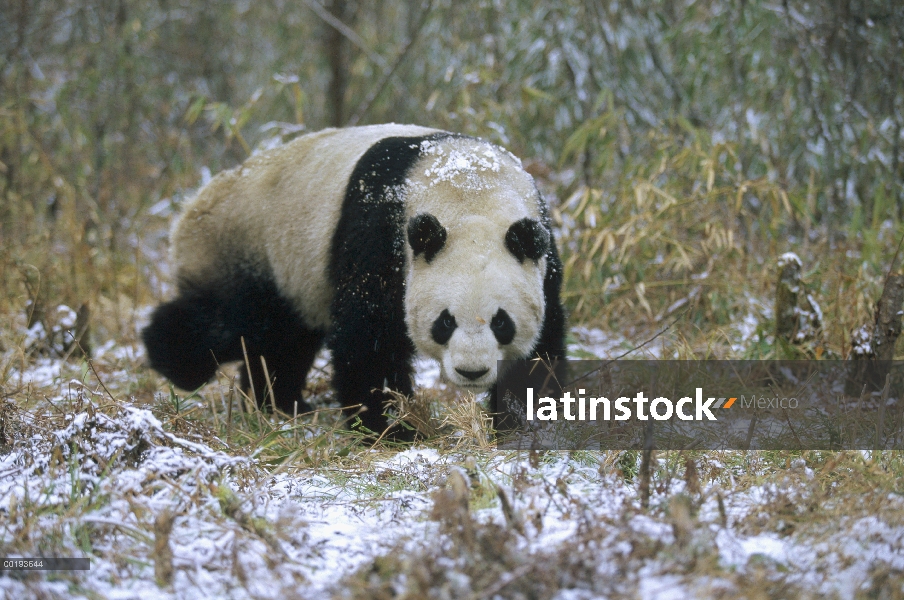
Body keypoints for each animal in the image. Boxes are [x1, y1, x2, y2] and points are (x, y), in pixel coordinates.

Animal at [141, 125, 564, 436]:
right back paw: (175, 359)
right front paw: (389, 427)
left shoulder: (541, 251)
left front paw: (523, 416)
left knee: (283, 343)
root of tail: (192, 208)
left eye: (501, 322)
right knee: (230, 323)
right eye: (445, 322)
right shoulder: (379, 232)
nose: (471, 372)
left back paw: (278, 405)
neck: (470, 188)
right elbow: (368, 337)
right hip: (249, 248)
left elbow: (546, 336)